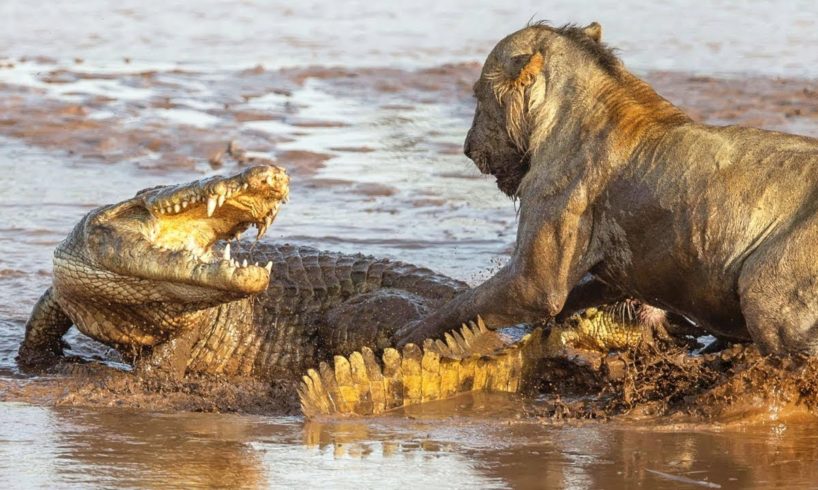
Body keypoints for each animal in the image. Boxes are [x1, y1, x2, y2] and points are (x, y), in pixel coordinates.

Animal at [396, 22, 818, 356]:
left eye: (477, 96)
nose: (467, 147)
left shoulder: (534, 277)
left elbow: (467, 304)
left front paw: (405, 335)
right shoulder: (615, 274)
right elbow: (577, 297)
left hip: (765, 293)